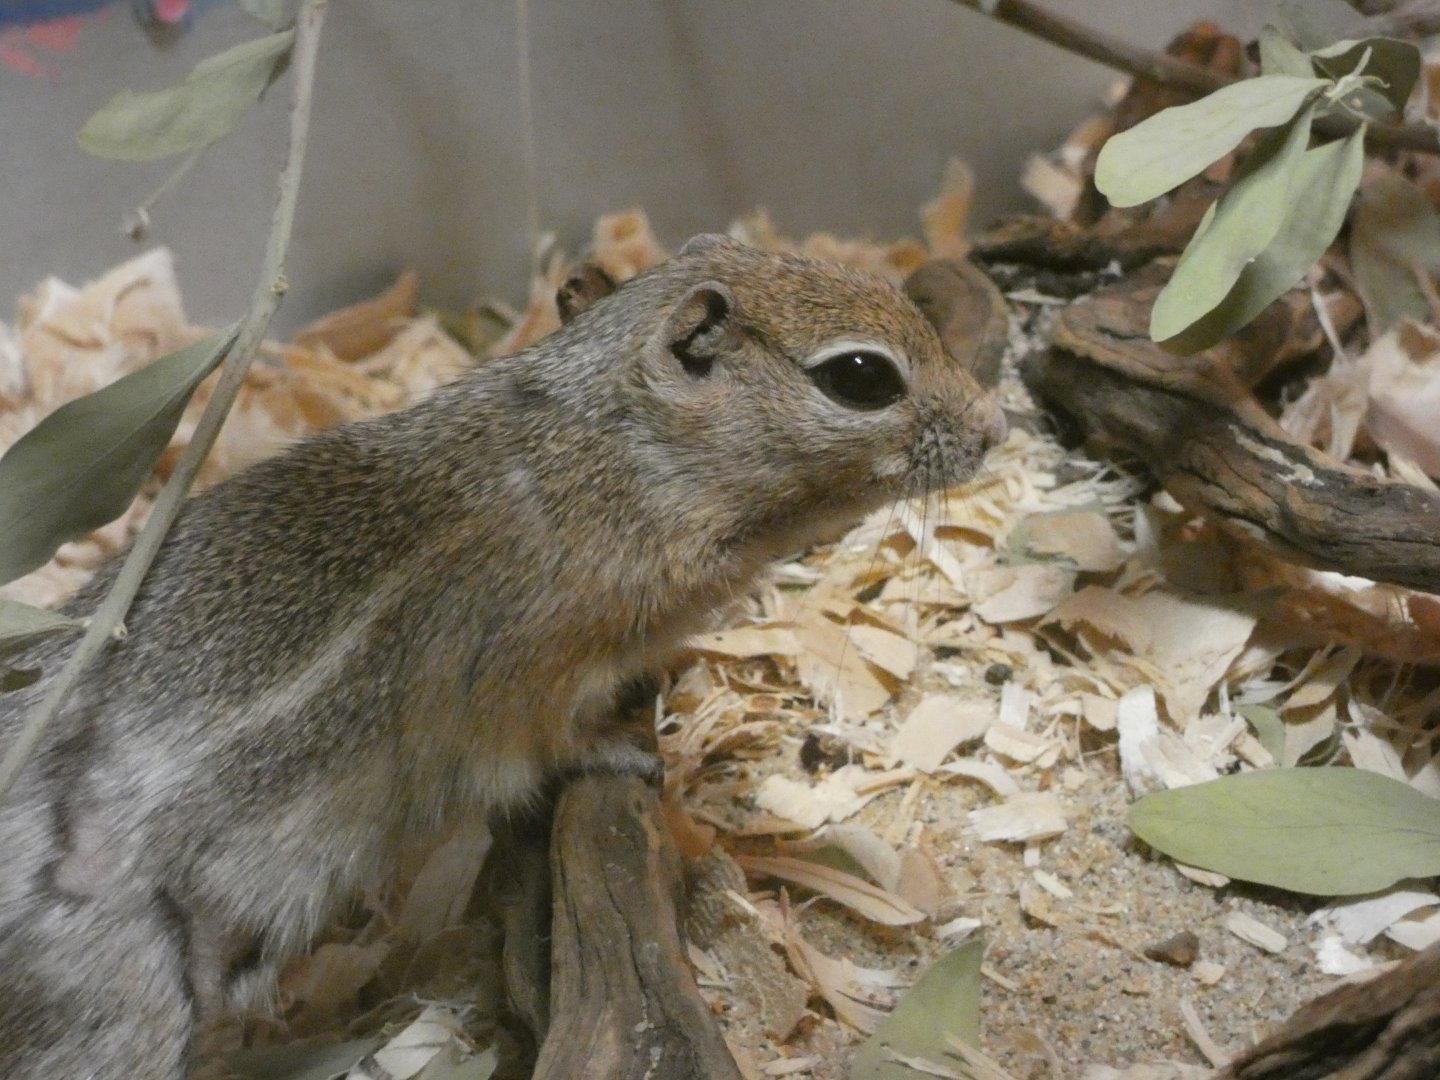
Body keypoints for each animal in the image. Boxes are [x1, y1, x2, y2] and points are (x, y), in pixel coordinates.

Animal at [0, 234, 1005, 1079]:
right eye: (862, 377)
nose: (993, 429)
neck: (614, 458)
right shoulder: (525, 688)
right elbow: (554, 747)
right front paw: (630, 754)